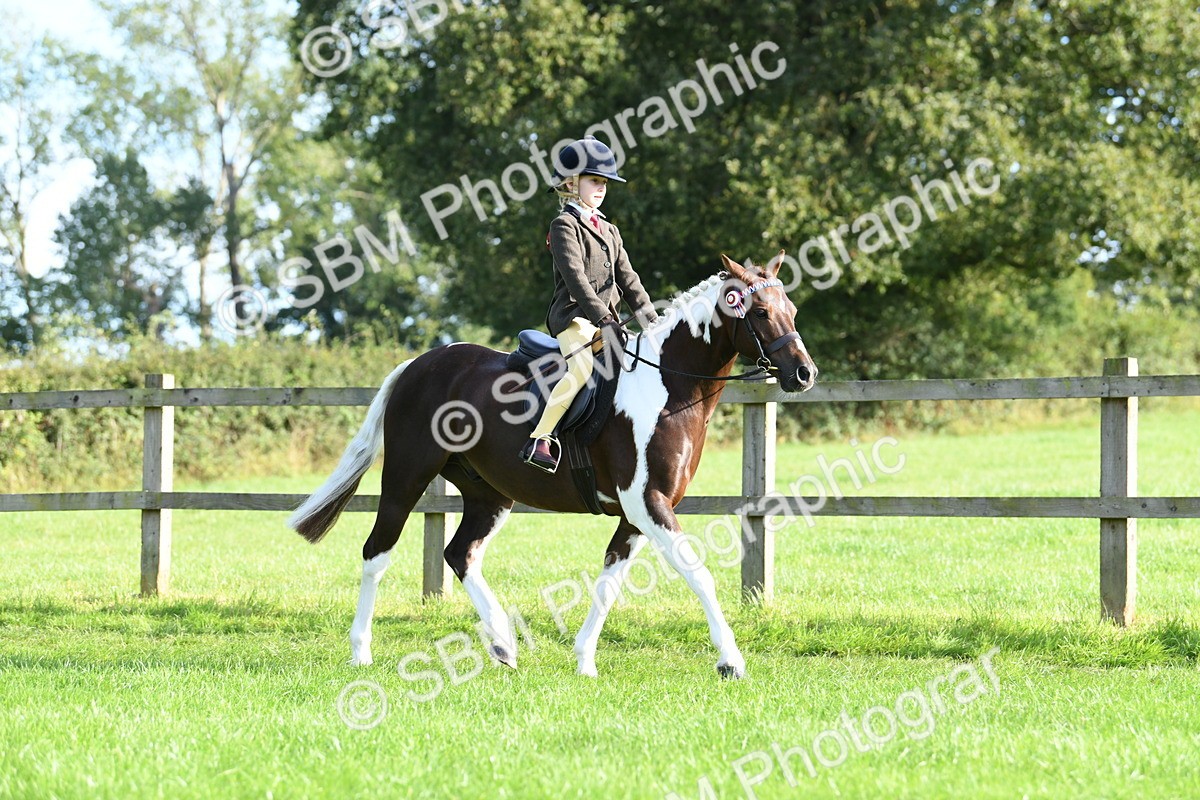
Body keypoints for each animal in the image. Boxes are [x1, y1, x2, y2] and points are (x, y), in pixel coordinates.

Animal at [288, 253, 817, 678]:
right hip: (406, 476)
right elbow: (697, 573)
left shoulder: (637, 515)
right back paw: (361, 653)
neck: (667, 386)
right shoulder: (649, 504)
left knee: (461, 554)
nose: (804, 373)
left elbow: (610, 580)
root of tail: (418, 365)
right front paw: (731, 661)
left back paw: (503, 645)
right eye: (761, 312)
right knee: (377, 553)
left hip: (489, 493)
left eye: (792, 310)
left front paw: (584, 661)